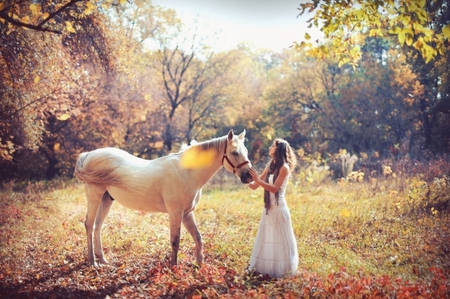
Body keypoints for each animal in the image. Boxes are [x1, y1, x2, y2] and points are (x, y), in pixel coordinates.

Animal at [72, 131, 251, 268]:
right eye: (235, 152)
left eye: (246, 151)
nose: (248, 176)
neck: (187, 172)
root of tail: (88, 155)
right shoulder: (175, 213)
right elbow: (175, 241)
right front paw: (174, 267)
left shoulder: (187, 214)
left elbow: (198, 238)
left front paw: (200, 265)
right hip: (94, 196)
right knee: (89, 225)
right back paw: (92, 262)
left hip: (106, 199)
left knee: (98, 226)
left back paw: (102, 259)